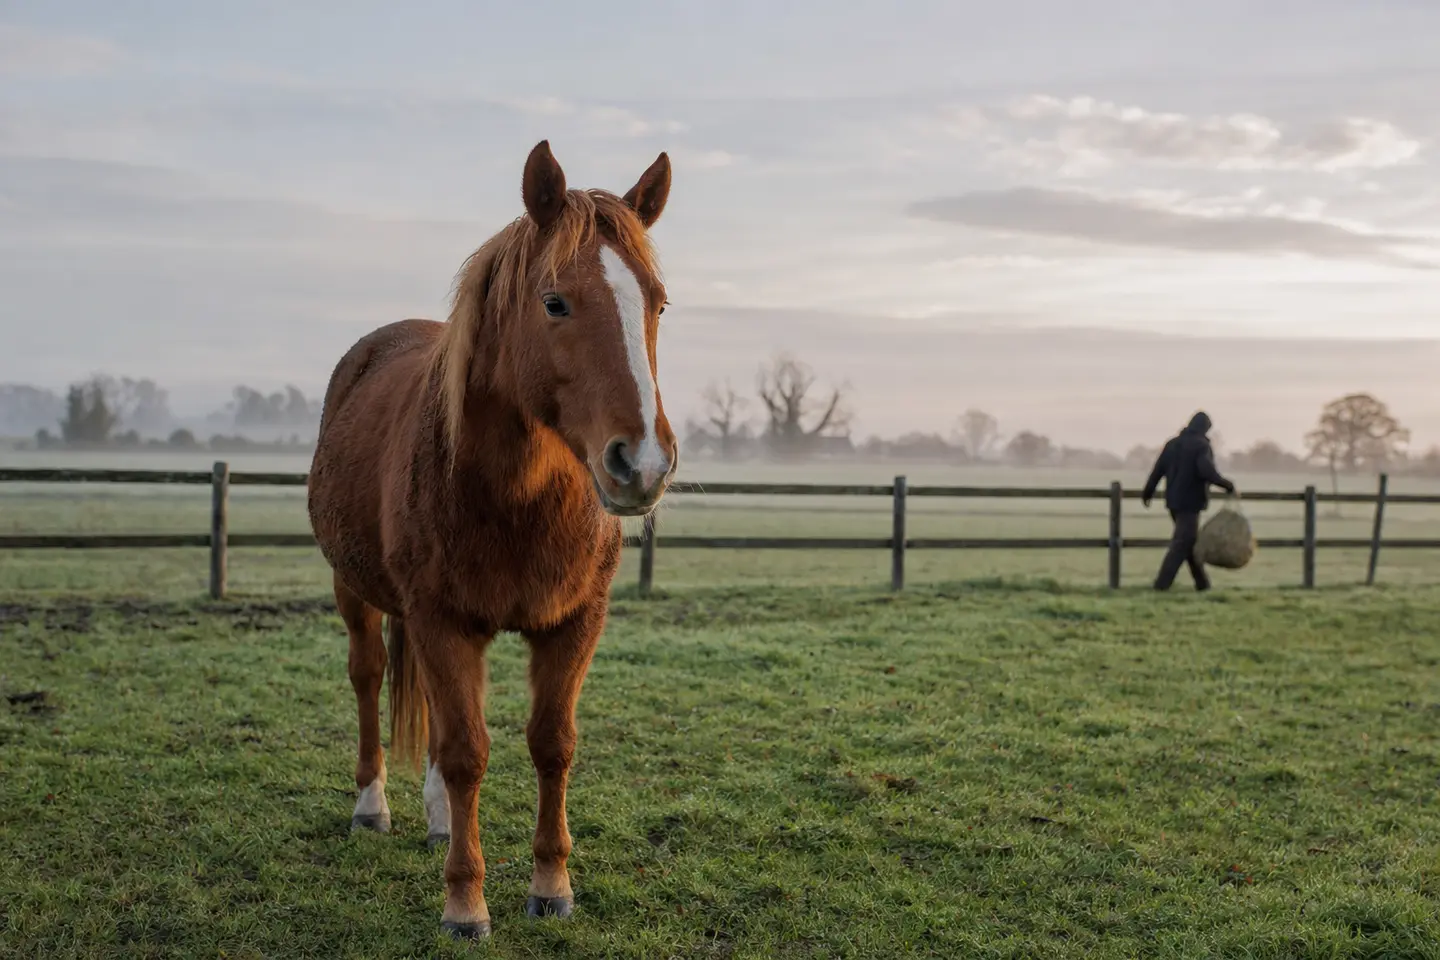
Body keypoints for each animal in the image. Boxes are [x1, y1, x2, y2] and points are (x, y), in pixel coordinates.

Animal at [306, 140, 678, 940]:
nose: (642, 462)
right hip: (354, 590)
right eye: (555, 301)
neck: (516, 499)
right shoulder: (443, 621)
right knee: (370, 679)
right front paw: (466, 904)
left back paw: (441, 820)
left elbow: (550, 744)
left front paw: (551, 886)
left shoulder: (574, 624)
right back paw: (372, 806)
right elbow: (467, 752)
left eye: (658, 303)